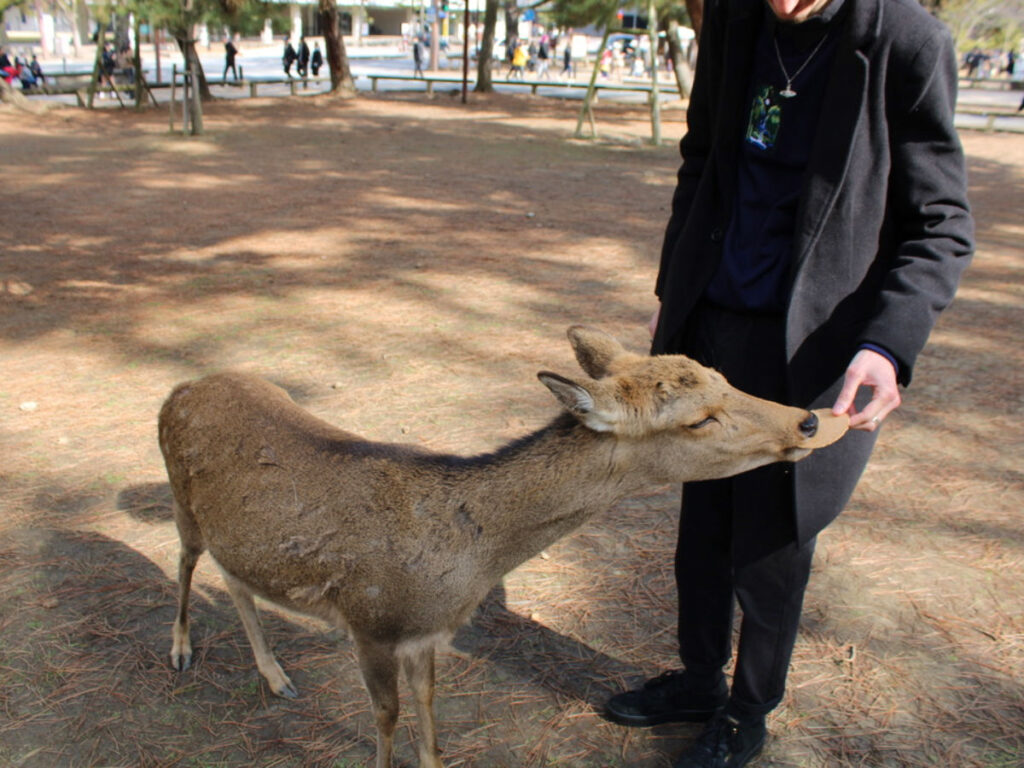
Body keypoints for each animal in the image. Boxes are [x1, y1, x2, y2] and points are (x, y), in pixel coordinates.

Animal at [158, 326, 848, 768]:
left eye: (723, 378)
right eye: (697, 418)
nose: (810, 420)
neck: (460, 568)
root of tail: (181, 387)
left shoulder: (426, 634)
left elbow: (428, 708)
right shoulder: (370, 621)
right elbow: (386, 717)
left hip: (240, 535)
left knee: (237, 580)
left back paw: (276, 677)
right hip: (180, 501)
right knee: (187, 563)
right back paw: (181, 651)